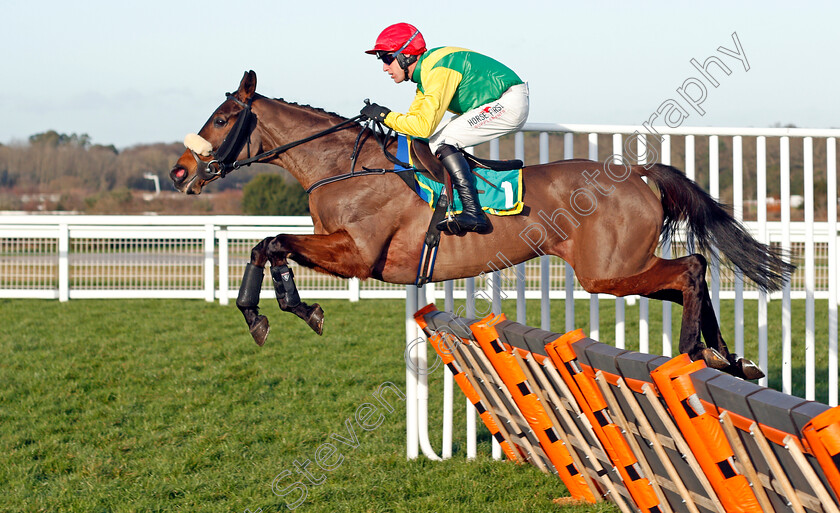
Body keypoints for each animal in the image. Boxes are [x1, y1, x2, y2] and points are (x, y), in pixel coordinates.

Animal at [169, 70, 796, 378]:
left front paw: (283, 310)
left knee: (691, 268)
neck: (345, 166)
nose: (179, 172)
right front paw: (280, 309)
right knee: (691, 274)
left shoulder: (359, 254)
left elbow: (270, 241)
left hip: (606, 271)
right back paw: (727, 359)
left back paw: (693, 354)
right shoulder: (342, 249)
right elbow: (269, 246)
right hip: (621, 269)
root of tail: (637, 173)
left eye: (223, 118)